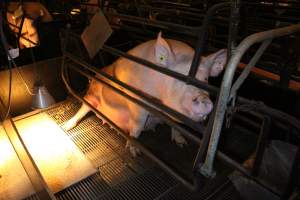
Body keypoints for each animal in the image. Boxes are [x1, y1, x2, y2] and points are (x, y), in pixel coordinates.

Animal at [63, 32, 227, 155]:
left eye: (205, 79)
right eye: (179, 78)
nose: (203, 99)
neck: (160, 101)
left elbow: (175, 126)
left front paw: (182, 143)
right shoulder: (136, 101)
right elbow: (137, 126)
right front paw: (135, 152)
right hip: (90, 97)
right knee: (83, 108)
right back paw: (66, 126)